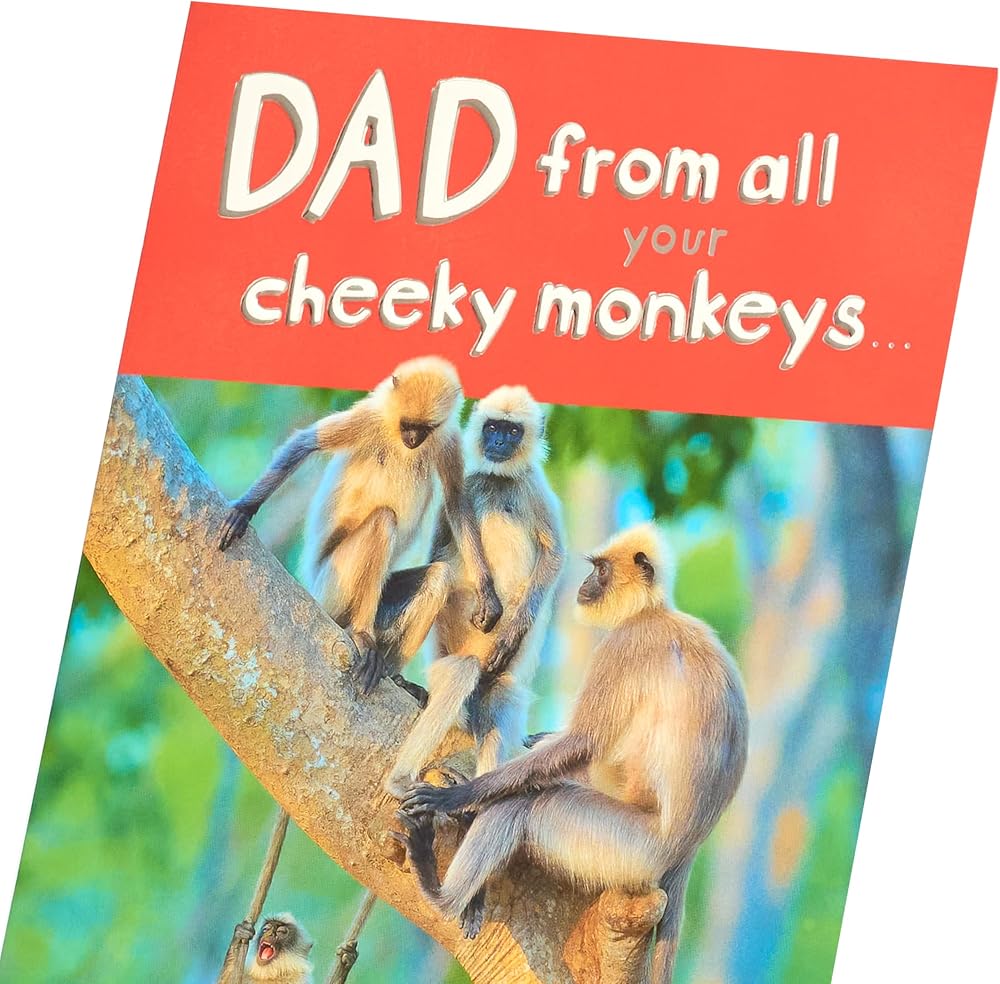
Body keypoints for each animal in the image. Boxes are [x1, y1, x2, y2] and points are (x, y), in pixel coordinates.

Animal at [218, 356, 502, 694]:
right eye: (407, 425)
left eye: (424, 429)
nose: (413, 440)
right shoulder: (370, 416)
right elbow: (305, 443)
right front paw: (244, 509)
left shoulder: (447, 438)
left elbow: (457, 503)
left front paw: (487, 593)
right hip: (332, 585)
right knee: (383, 520)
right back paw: (362, 636)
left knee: (439, 576)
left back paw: (393, 673)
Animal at [384, 385, 564, 797]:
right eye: (493, 427)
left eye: (512, 431)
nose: (498, 443)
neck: (499, 481)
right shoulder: (467, 484)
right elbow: (441, 549)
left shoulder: (535, 487)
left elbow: (553, 556)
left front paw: (511, 633)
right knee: (460, 674)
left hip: (499, 681)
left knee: (497, 708)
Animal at [397, 523, 749, 981]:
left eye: (600, 570)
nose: (585, 584)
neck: (653, 613)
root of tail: (688, 848)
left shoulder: (628, 643)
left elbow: (583, 742)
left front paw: (454, 797)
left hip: (627, 848)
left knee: (525, 805)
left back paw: (441, 892)